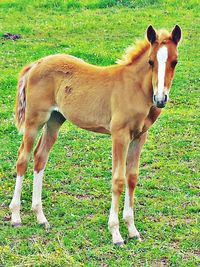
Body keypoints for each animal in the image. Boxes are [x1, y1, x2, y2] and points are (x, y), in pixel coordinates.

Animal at [9, 25, 181, 247]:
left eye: (174, 61)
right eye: (151, 61)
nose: (160, 99)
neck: (135, 88)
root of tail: (35, 64)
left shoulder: (139, 136)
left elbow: (132, 178)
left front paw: (132, 230)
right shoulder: (120, 135)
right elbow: (118, 180)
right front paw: (116, 233)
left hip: (55, 120)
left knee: (40, 157)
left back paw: (41, 217)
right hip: (34, 120)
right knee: (23, 158)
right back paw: (15, 216)